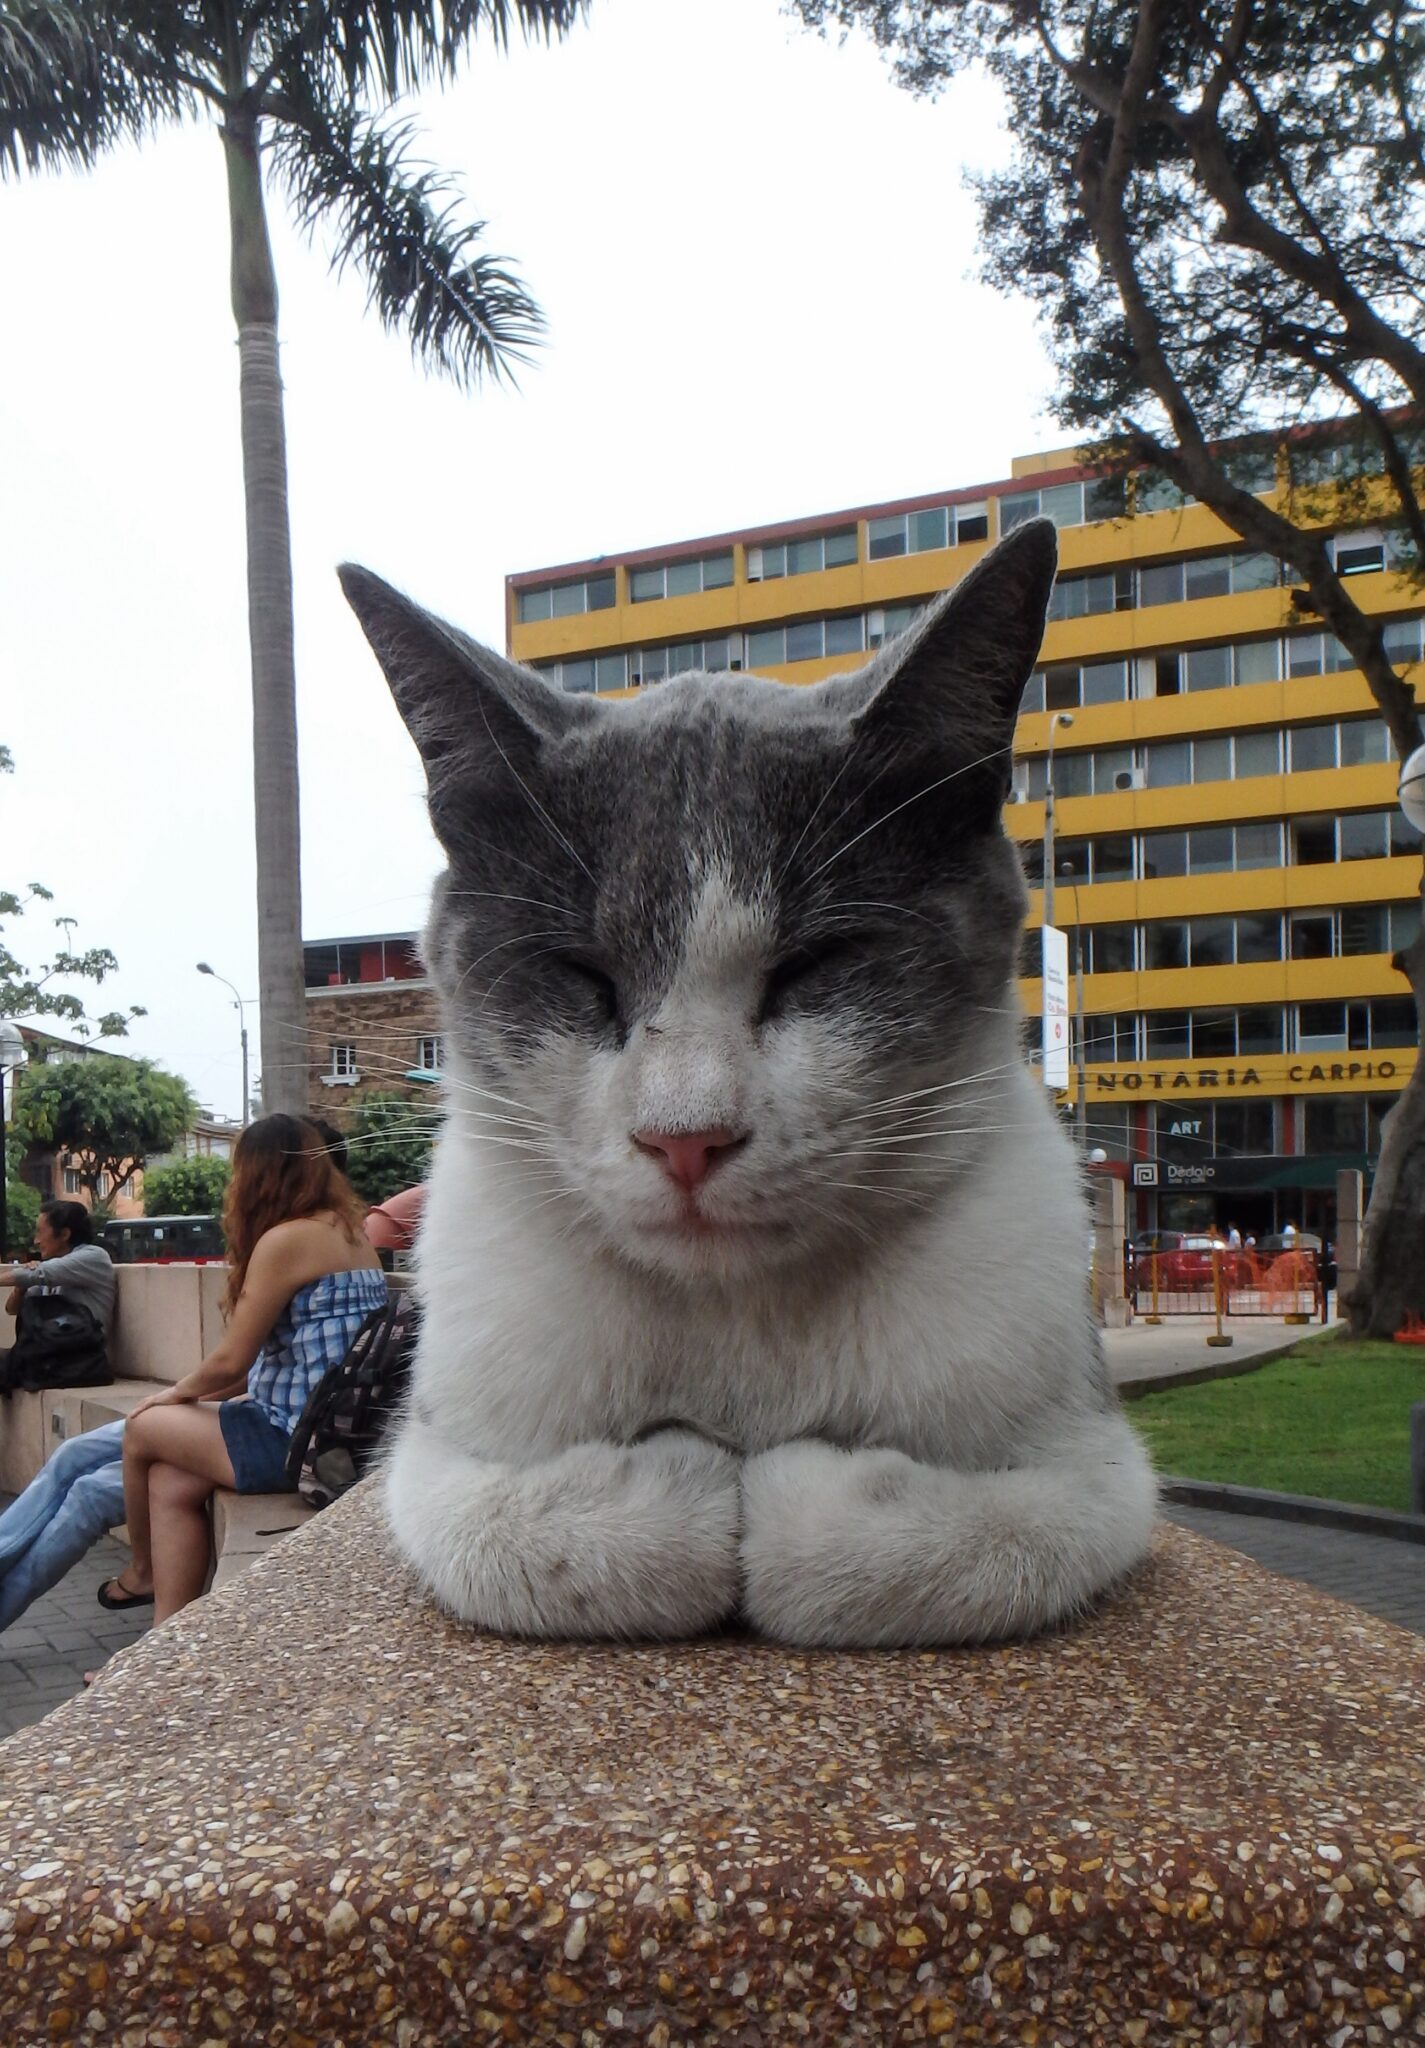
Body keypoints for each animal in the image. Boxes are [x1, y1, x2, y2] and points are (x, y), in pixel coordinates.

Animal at [341, 528, 1154, 1646]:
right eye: (584, 976)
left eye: (813, 966)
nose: (687, 1139)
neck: (736, 1329)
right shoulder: (431, 1450)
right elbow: (505, 1533)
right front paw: (676, 1489)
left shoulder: (1097, 1462)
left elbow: (965, 1540)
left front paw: (787, 1498)